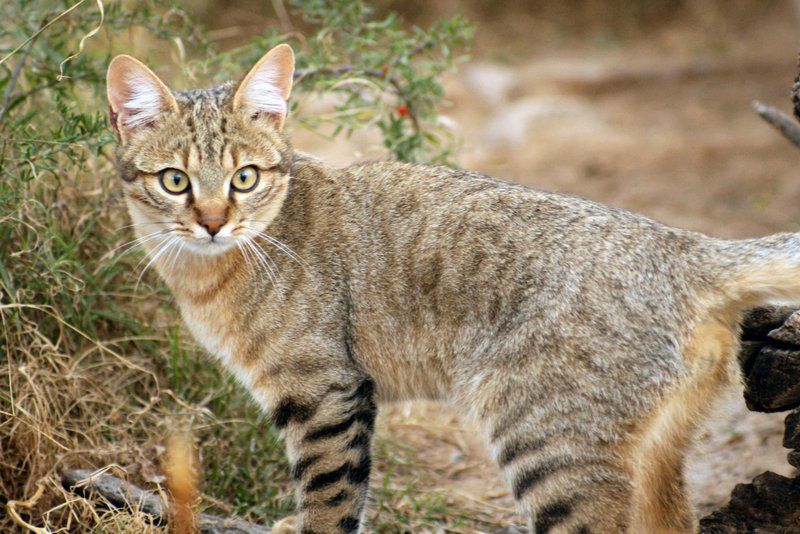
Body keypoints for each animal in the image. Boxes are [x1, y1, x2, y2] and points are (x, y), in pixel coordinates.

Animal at [104, 44, 800, 532]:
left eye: (245, 177)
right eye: (174, 181)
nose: (212, 221)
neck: (209, 276)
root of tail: (681, 246)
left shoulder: (326, 393)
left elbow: (331, 500)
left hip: (547, 441)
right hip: (649, 454)